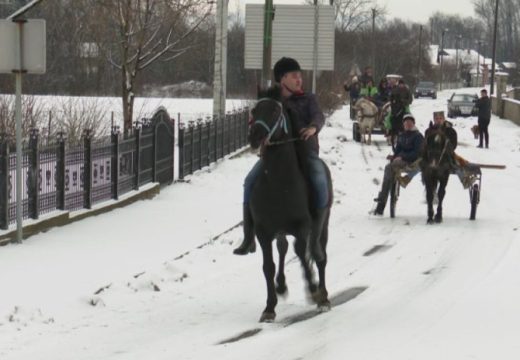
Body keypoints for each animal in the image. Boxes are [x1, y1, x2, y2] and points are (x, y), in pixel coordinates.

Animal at [249, 86, 334, 320]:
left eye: (275, 111)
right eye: (254, 110)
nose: (254, 137)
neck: (279, 182)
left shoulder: (302, 227)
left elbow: (303, 254)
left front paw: (314, 291)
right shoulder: (263, 232)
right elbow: (268, 266)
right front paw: (269, 308)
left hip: (322, 226)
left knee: (320, 256)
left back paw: (323, 296)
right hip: (280, 231)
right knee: (283, 249)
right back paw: (282, 285)